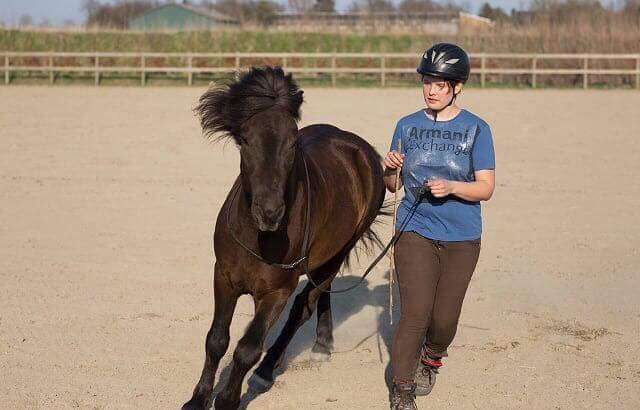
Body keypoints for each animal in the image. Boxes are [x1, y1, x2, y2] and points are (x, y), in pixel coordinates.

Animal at [182, 68, 388, 410]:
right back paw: (322, 344)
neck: (259, 236)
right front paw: (197, 399)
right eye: (245, 139)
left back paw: (268, 369)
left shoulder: (277, 291)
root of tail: (360, 151)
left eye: (293, 142)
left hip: (339, 251)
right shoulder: (224, 277)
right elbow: (216, 340)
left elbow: (248, 348)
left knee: (306, 303)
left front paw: (228, 399)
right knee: (321, 292)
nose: (269, 212)